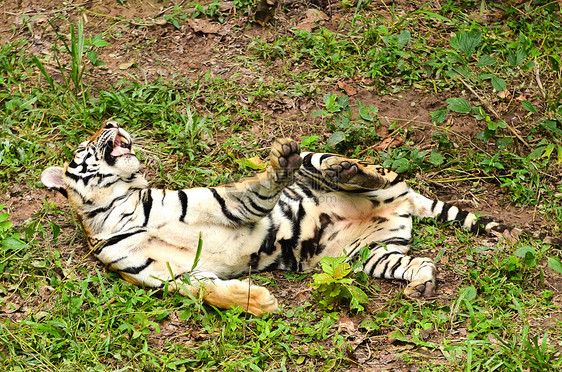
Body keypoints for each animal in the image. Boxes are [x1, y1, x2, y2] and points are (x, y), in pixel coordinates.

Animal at [39, 120, 528, 316]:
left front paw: (276, 164)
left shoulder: (222, 202)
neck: (119, 209)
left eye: (100, 129)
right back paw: (422, 285)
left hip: (328, 158)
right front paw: (258, 302)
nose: (111, 122)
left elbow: (255, 189)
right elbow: (207, 292)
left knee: (369, 169)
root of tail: (404, 203)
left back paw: (344, 170)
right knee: (419, 262)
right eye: (87, 141)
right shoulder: (162, 274)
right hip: (371, 255)